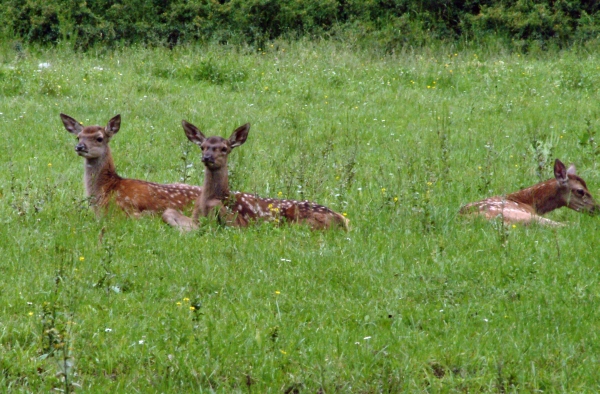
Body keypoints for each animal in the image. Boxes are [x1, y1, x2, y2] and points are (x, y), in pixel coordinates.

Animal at [162, 120, 350, 231]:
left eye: (224, 148)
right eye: (202, 146)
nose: (207, 157)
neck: (212, 198)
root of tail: (342, 219)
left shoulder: (237, 222)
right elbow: (168, 212)